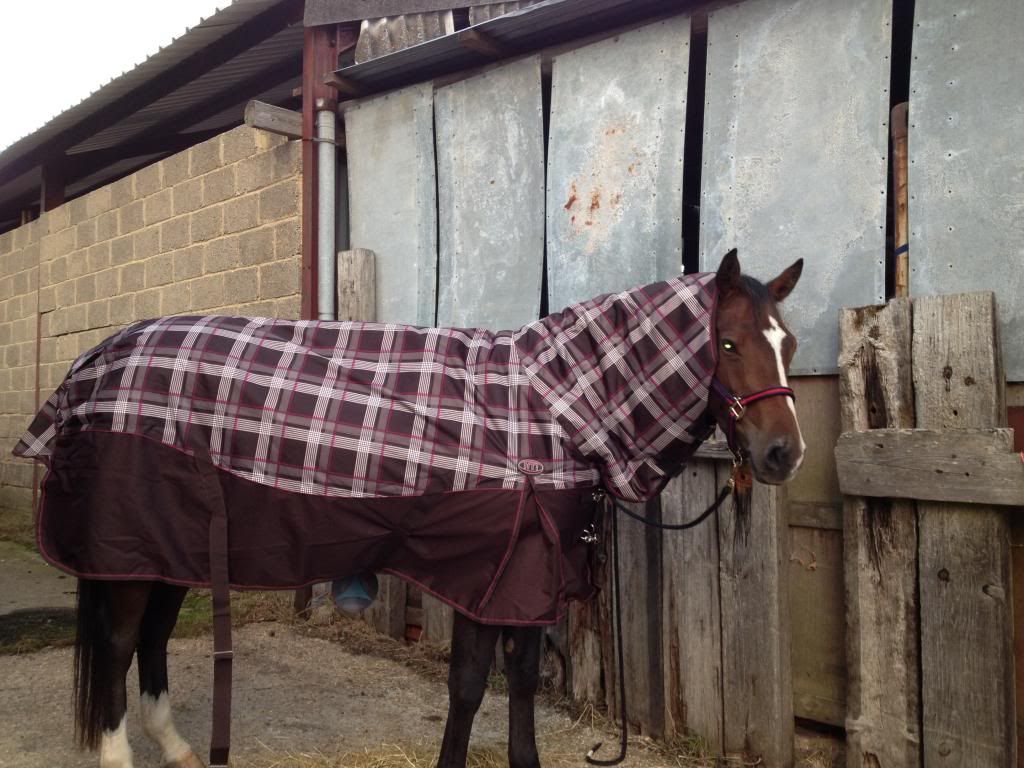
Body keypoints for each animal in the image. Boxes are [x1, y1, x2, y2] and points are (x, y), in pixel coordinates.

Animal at [13, 249, 803, 768]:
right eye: (727, 342)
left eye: (788, 343)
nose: (783, 454)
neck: (549, 406)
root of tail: (94, 365)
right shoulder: (488, 573)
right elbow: (469, 687)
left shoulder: (520, 580)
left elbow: (516, 679)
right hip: (130, 549)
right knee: (119, 646)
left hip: (170, 549)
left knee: (150, 642)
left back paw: (178, 748)